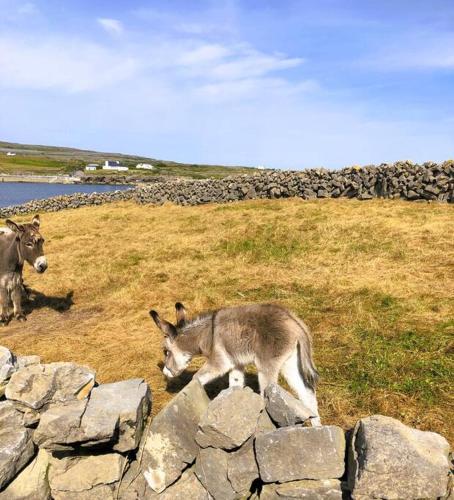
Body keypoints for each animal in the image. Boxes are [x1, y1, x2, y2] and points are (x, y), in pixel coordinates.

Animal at [151, 300, 320, 426]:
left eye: (165, 351)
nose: (165, 372)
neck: (207, 335)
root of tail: (294, 323)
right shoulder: (235, 363)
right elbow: (234, 385)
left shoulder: (219, 363)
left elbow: (196, 378)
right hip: (290, 363)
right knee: (306, 392)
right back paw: (317, 427)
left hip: (267, 366)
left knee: (270, 394)